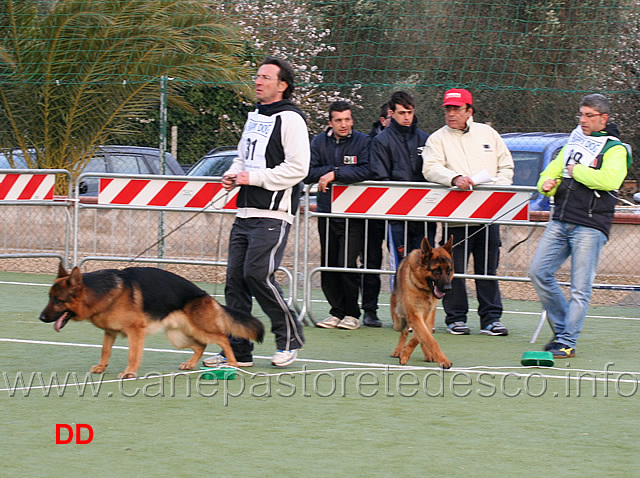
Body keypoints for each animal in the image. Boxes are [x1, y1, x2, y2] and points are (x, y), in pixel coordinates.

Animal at [38, 266, 264, 378]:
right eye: (49, 297)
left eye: (58, 301)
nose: (41, 318)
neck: (99, 292)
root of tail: (205, 294)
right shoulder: (110, 332)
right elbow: (105, 351)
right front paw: (102, 367)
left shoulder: (135, 331)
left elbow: (133, 354)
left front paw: (129, 372)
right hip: (178, 337)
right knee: (200, 346)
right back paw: (190, 364)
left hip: (199, 329)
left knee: (223, 338)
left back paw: (233, 362)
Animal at [390, 237, 456, 368]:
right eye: (436, 270)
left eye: (449, 270)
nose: (448, 288)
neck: (423, 288)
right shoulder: (415, 316)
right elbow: (428, 339)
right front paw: (444, 360)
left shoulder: (423, 315)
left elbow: (422, 338)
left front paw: (405, 354)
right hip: (399, 319)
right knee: (404, 331)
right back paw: (399, 350)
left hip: (429, 316)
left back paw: (428, 354)